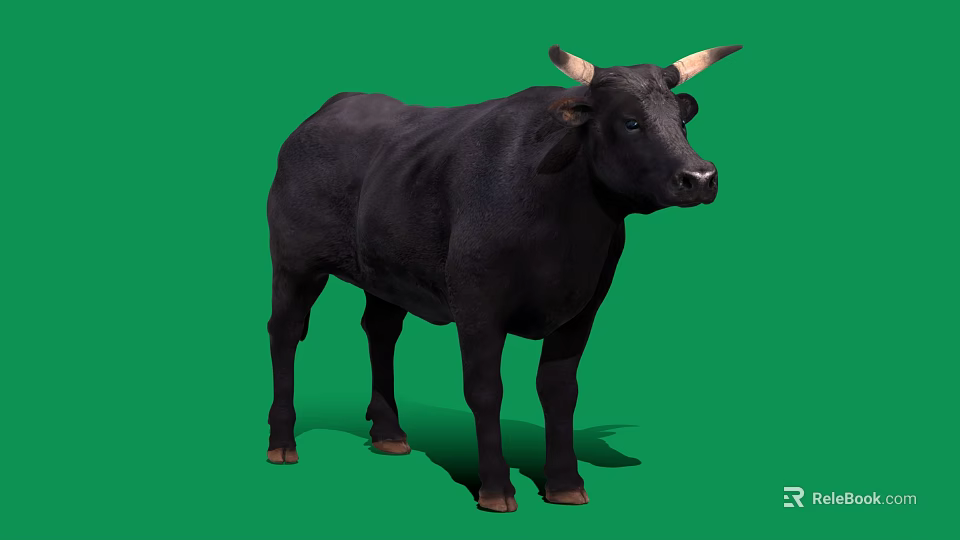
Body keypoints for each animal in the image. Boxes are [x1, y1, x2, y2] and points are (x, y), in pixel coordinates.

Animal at [265, 44, 742, 512]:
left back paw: (389, 435)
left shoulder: (583, 307)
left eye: (682, 122)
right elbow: (485, 390)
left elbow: (559, 390)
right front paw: (495, 488)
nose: (700, 176)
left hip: (384, 274)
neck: (565, 233)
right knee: (284, 332)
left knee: (380, 331)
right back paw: (282, 444)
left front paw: (566, 484)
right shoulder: (477, 307)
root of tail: (333, 106)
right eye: (630, 122)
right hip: (294, 264)